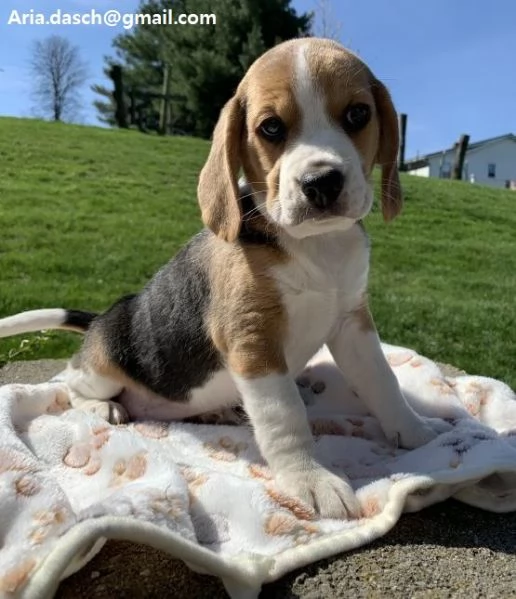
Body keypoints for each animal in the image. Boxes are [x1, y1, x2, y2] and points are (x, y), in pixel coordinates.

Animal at [0, 37, 452, 516]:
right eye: (271, 128)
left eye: (357, 115)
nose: (322, 182)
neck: (315, 244)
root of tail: (102, 318)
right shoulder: (252, 339)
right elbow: (285, 416)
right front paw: (310, 480)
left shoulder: (353, 324)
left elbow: (383, 382)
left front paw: (417, 431)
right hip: (103, 368)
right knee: (68, 382)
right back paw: (102, 408)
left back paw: (216, 411)